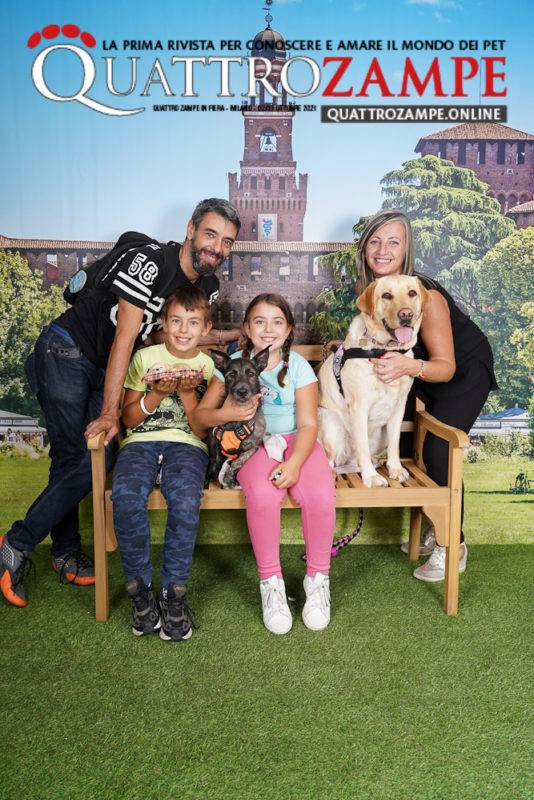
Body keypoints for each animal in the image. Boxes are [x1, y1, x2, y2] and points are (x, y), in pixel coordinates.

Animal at [208, 348, 270, 490]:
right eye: (231, 374)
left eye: (251, 374)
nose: (242, 392)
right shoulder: (216, 441)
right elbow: (217, 460)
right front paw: (216, 473)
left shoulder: (252, 447)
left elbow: (236, 464)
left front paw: (229, 479)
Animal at [320, 276, 434, 488]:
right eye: (387, 295)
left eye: (412, 293)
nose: (406, 314)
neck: (384, 350)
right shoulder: (359, 407)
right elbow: (362, 445)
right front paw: (371, 477)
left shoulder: (399, 407)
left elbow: (395, 443)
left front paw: (396, 468)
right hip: (333, 424)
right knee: (330, 459)